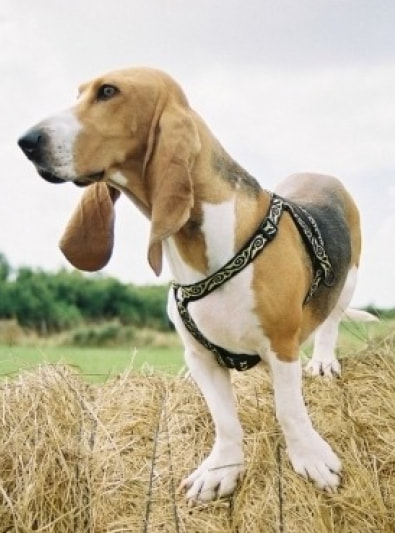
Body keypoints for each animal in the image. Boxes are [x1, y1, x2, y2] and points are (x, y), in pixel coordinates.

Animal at [17, 67, 372, 502]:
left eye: (108, 92)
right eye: (80, 92)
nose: (27, 141)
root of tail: (320, 176)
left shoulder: (281, 345)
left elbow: (289, 409)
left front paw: (310, 458)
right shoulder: (199, 356)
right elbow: (225, 420)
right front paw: (221, 470)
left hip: (348, 278)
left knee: (330, 321)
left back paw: (323, 361)